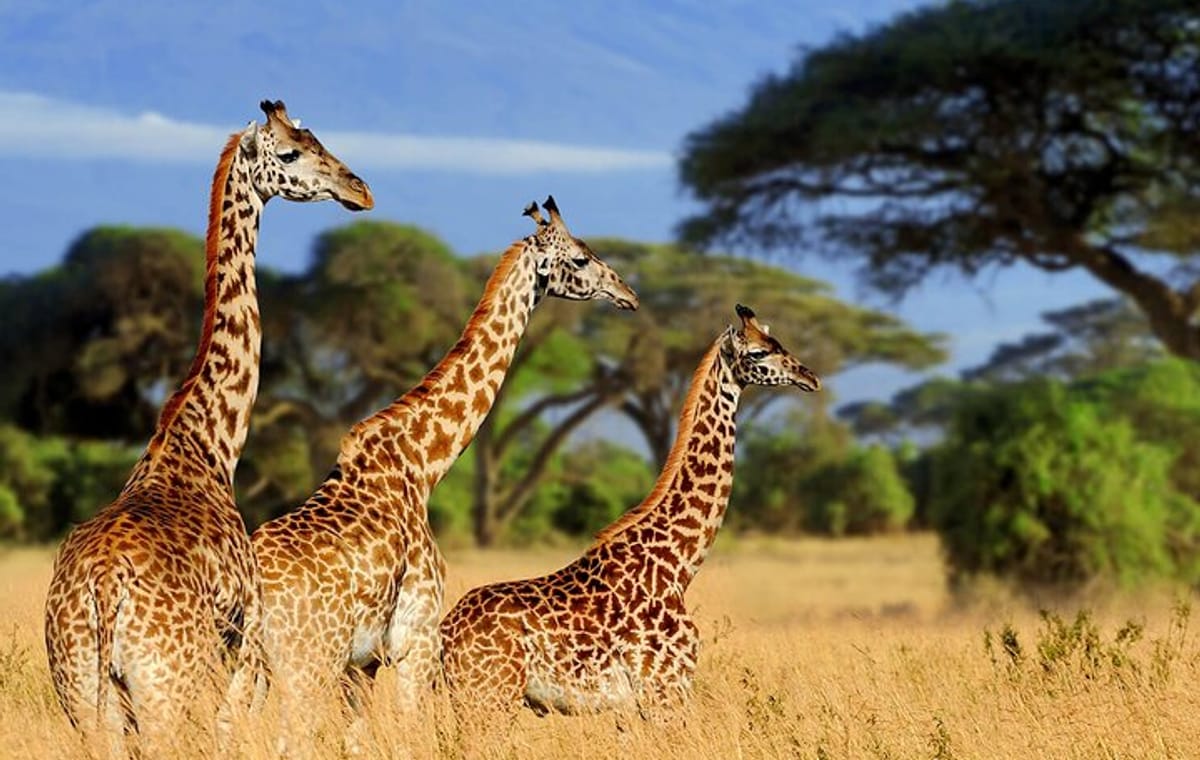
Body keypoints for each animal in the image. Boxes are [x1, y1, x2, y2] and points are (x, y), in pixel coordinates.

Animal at [43, 100, 373, 755]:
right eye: (291, 151)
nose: (360, 190)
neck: (209, 443)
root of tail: (102, 588)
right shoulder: (244, 643)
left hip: (82, 693)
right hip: (166, 689)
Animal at [247, 196, 639, 742]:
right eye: (580, 259)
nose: (628, 294)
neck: (423, 463)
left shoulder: (364, 663)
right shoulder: (416, 640)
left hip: (251, 666)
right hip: (307, 663)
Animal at [439, 304, 820, 718]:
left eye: (777, 342)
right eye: (758, 353)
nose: (810, 377)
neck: (678, 564)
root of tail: (444, 634)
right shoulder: (665, 690)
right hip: (489, 696)